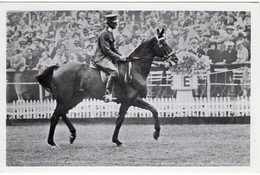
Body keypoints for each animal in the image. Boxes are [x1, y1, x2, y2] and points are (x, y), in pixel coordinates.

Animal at [36, 29, 178, 148]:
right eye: (164, 44)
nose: (175, 59)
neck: (135, 69)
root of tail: (58, 67)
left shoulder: (133, 100)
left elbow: (153, 110)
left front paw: (155, 133)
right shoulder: (129, 101)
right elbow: (121, 120)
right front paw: (118, 140)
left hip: (75, 99)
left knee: (62, 113)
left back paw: (72, 134)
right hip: (65, 99)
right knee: (55, 116)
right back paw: (52, 143)